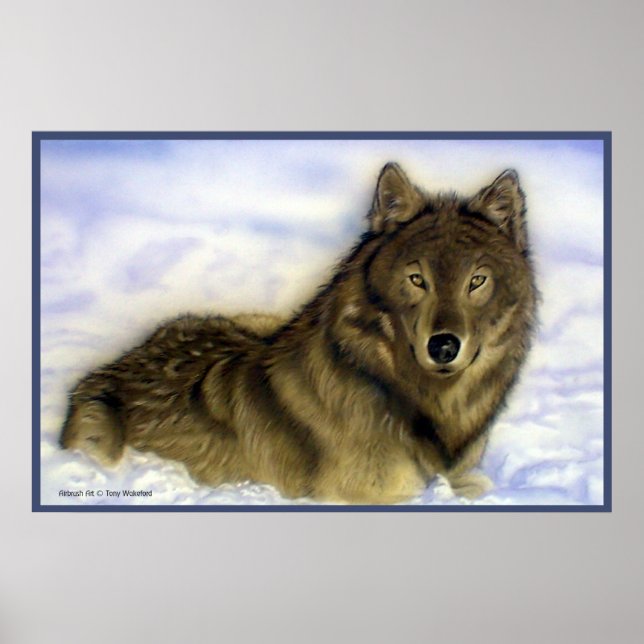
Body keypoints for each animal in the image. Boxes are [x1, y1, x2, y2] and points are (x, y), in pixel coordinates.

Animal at [60, 163, 537, 504]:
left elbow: (474, 485)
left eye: (476, 281)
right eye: (417, 279)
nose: (443, 346)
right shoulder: (369, 494)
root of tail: (119, 360)